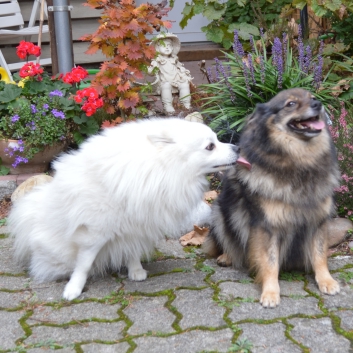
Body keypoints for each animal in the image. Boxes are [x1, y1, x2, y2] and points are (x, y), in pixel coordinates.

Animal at [8, 117, 239, 296]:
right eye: (210, 146)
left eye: (217, 139)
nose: (237, 147)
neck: (161, 167)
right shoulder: (95, 231)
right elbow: (84, 263)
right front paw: (74, 288)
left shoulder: (136, 223)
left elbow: (132, 249)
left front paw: (135, 271)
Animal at [205, 89, 340, 306]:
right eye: (291, 104)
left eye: (312, 97)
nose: (318, 104)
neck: (299, 160)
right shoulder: (266, 225)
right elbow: (270, 261)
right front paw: (270, 292)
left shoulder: (317, 220)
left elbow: (320, 255)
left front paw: (326, 281)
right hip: (219, 212)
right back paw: (227, 256)